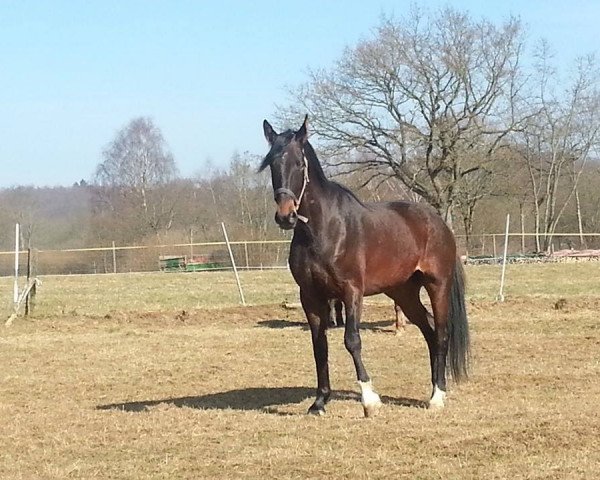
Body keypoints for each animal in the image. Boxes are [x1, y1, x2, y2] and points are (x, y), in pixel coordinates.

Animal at [260, 115, 472, 416]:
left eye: (300, 163)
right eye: (272, 164)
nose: (285, 216)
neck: (323, 230)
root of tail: (438, 222)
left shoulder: (351, 292)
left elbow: (352, 340)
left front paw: (370, 399)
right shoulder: (310, 296)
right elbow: (319, 346)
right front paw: (319, 402)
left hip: (437, 284)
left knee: (441, 334)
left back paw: (437, 396)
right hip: (403, 292)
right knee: (430, 332)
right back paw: (433, 387)